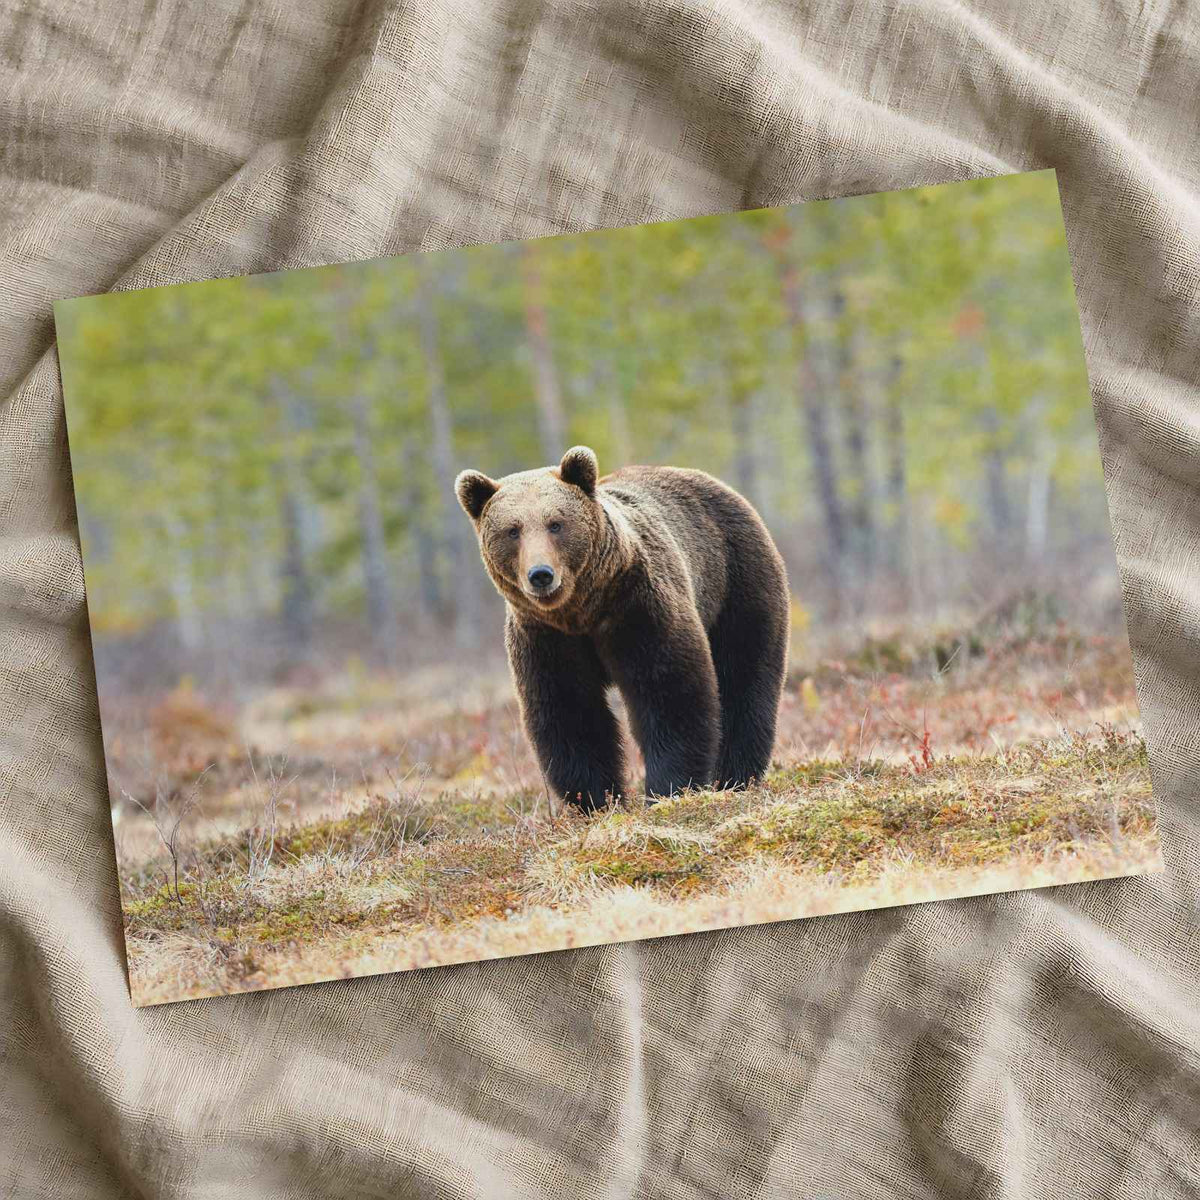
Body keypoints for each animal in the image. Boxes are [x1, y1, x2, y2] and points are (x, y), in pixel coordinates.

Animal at [454, 446, 790, 811]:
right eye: (512, 530)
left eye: (556, 524)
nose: (540, 574)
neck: (582, 610)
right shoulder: (546, 638)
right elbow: (569, 711)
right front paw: (595, 798)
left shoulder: (637, 606)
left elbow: (668, 692)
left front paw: (668, 788)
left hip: (736, 579)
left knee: (744, 675)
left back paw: (736, 775)